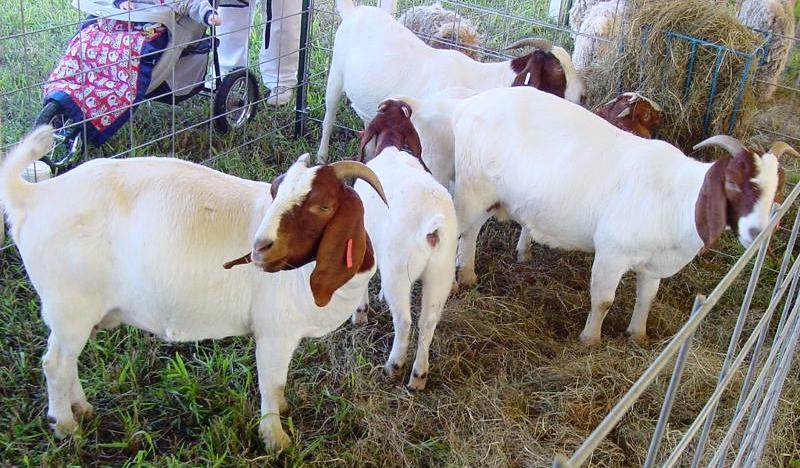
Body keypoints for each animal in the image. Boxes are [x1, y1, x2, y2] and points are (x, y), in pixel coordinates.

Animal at [0, 126, 387, 450]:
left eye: (324, 205)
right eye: (275, 191)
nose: (260, 248)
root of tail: (33, 198)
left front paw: (283, 410)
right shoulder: (274, 333)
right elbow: (272, 383)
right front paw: (275, 439)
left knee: (68, 361)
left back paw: (81, 408)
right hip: (69, 305)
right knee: (55, 363)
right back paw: (66, 426)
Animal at [316, 0, 585, 162]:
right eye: (558, 73)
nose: (581, 97)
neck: (485, 80)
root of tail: (356, 11)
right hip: (336, 74)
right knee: (329, 115)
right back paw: (321, 155)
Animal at [352, 99, 457, 390]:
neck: (391, 148)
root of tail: (433, 227)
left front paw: (360, 313)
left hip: (400, 271)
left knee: (405, 321)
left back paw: (394, 365)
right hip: (441, 272)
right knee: (428, 323)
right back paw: (419, 376)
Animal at [401, 87, 793, 346]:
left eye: (778, 190)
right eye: (734, 184)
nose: (758, 231)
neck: (675, 197)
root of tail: (468, 105)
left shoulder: (653, 266)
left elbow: (646, 298)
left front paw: (638, 335)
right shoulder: (612, 252)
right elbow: (603, 301)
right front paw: (590, 340)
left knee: (474, 228)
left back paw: (478, 270)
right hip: (473, 185)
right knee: (465, 227)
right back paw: (460, 279)